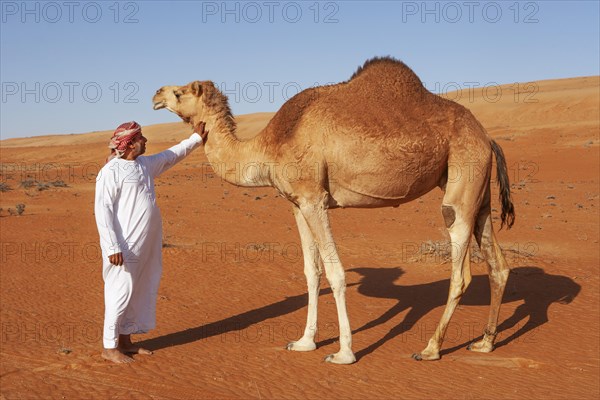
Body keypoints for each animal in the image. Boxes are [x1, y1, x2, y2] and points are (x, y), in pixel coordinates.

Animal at [154, 56, 516, 366]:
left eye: (179, 92)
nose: (156, 94)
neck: (271, 145)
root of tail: (487, 138)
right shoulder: (297, 204)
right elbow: (311, 273)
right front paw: (304, 342)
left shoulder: (314, 199)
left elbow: (335, 272)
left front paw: (343, 352)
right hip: (478, 195)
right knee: (497, 264)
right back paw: (484, 342)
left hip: (461, 182)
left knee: (460, 269)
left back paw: (430, 348)